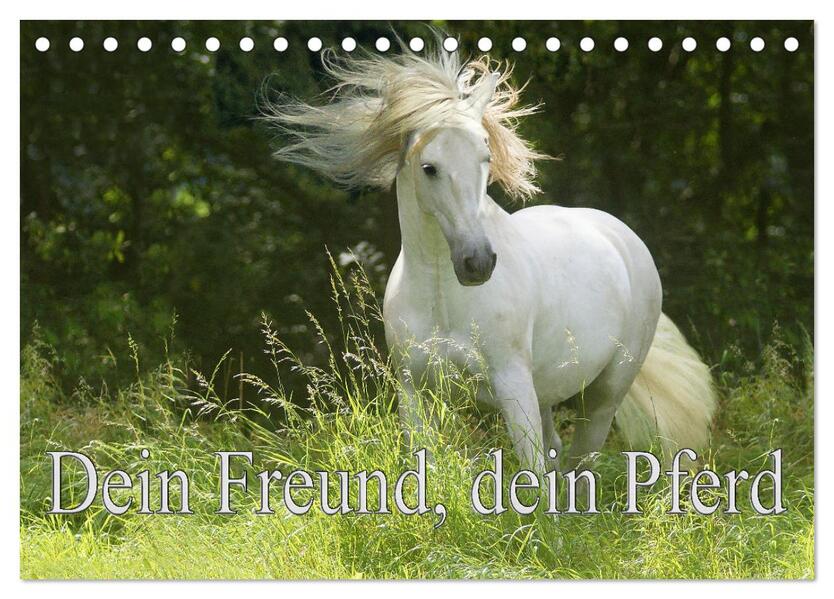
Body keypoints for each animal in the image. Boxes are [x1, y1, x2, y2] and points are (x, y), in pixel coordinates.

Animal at [265, 44, 717, 472]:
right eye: (429, 167)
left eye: (485, 157)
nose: (477, 263)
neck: (442, 297)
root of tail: (622, 237)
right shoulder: (414, 392)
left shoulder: (511, 385)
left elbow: (532, 474)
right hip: (548, 391)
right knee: (558, 452)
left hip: (604, 395)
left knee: (580, 461)